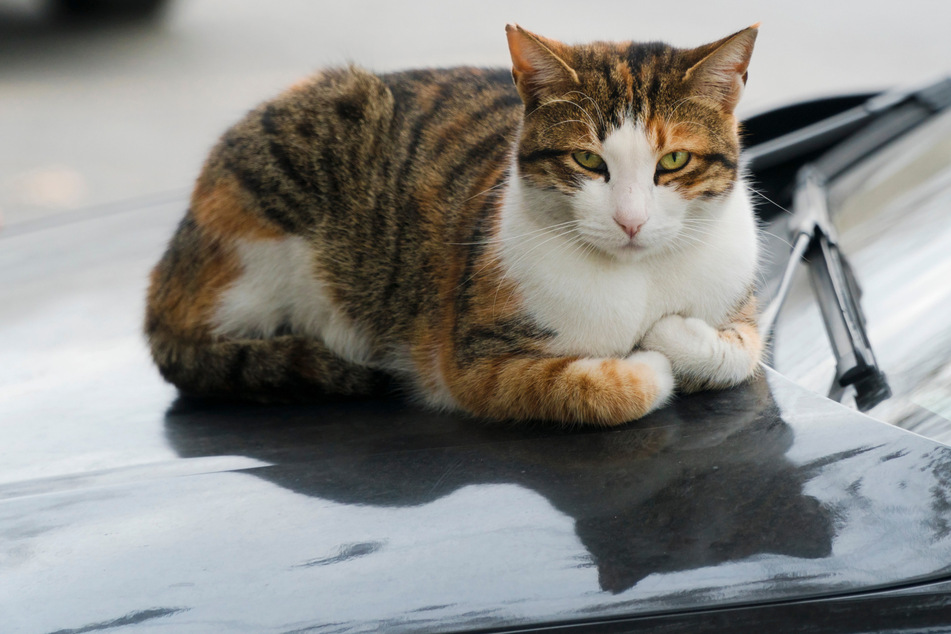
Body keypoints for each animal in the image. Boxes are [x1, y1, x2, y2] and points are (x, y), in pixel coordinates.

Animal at [143, 23, 768, 424]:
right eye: (588, 161)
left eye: (674, 161)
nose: (630, 221)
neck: (639, 281)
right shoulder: (471, 363)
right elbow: (603, 387)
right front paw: (646, 360)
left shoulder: (738, 307)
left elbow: (739, 351)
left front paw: (673, 336)